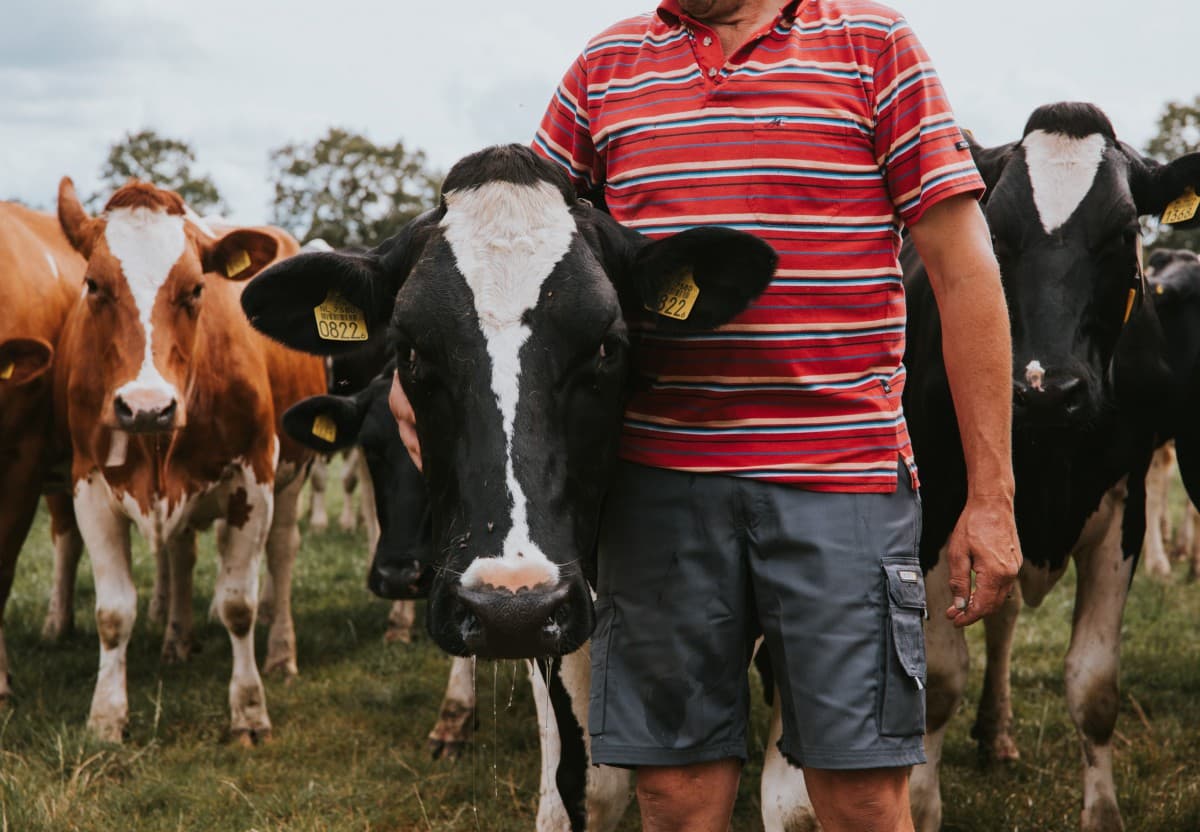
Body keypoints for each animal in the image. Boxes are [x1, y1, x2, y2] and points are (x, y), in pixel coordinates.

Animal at [53, 179, 326, 742]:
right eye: (94, 285)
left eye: (197, 289)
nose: (146, 406)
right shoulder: (89, 483)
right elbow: (113, 612)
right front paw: (106, 716)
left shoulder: (254, 478)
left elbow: (240, 604)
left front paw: (248, 710)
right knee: (181, 554)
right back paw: (177, 640)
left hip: (292, 478)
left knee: (283, 554)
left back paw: (281, 653)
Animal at [901, 102, 1198, 832]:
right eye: (993, 234)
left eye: (1122, 233)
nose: (1046, 389)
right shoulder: (937, 505)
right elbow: (938, 681)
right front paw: (920, 804)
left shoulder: (1122, 508)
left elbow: (1094, 684)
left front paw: (1103, 813)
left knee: (1003, 613)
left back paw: (998, 733)